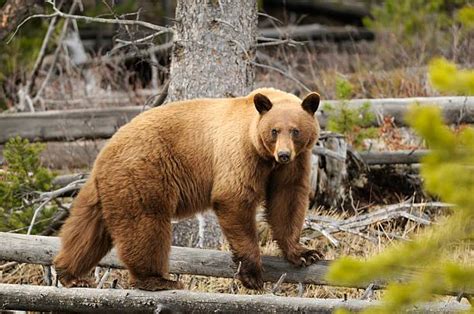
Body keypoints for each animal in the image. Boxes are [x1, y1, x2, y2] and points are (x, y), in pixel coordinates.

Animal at [52, 87, 322, 290]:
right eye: (274, 131)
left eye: (295, 131)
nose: (284, 154)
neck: (264, 155)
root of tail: (104, 152)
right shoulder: (240, 154)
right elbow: (233, 198)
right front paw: (252, 274)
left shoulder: (294, 164)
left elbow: (287, 200)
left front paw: (305, 253)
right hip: (143, 175)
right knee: (146, 226)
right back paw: (157, 279)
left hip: (106, 188)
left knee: (87, 230)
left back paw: (69, 273)